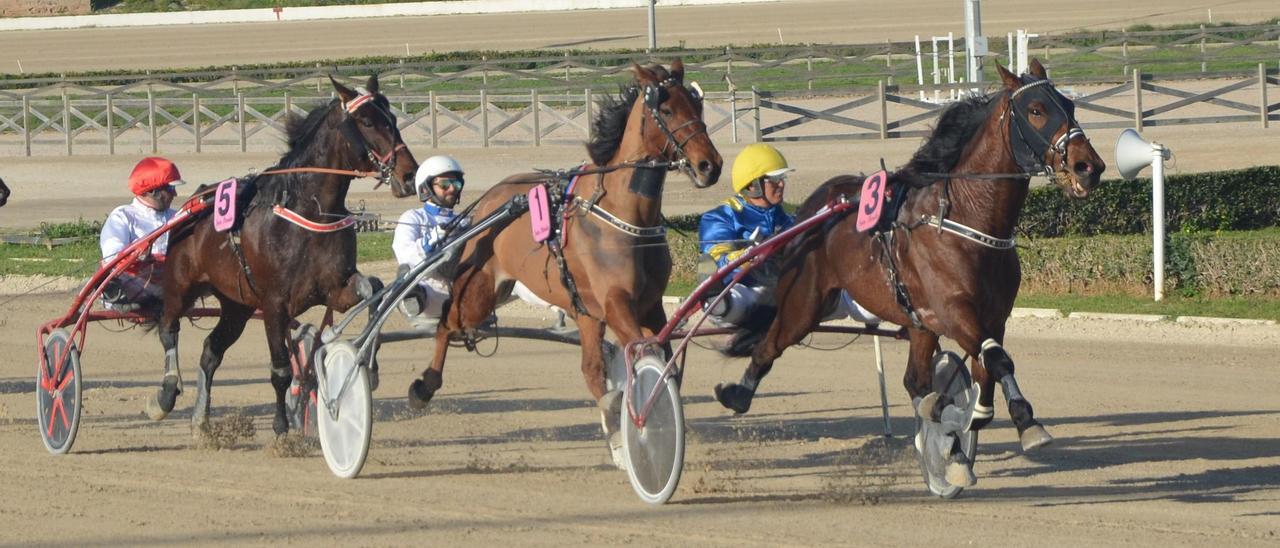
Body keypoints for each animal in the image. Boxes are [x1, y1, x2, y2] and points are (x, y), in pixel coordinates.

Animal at [149, 74, 417, 435]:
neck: (309, 210)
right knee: (169, 328)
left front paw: (371, 367)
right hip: (182, 284)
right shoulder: (274, 303)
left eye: (393, 119)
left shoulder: (332, 288)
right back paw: (165, 395)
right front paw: (281, 427)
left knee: (211, 351)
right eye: (367, 122)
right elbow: (280, 370)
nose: (409, 174)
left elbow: (371, 287)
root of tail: (192, 206)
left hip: (237, 304)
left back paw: (200, 418)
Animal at [716, 58, 1105, 478]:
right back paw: (736, 394)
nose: (1089, 166)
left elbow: (987, 367)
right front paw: (1026, 420)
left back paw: (945, 436)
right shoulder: (953, 310)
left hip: (917, 323)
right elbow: (998, 359)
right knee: (770, 343)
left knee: (914, 380)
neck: (967, 221)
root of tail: (812, 210)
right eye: (1036, 110)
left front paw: (971, 420)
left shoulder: (991, 316)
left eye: (1070, 105)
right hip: (805, 302)